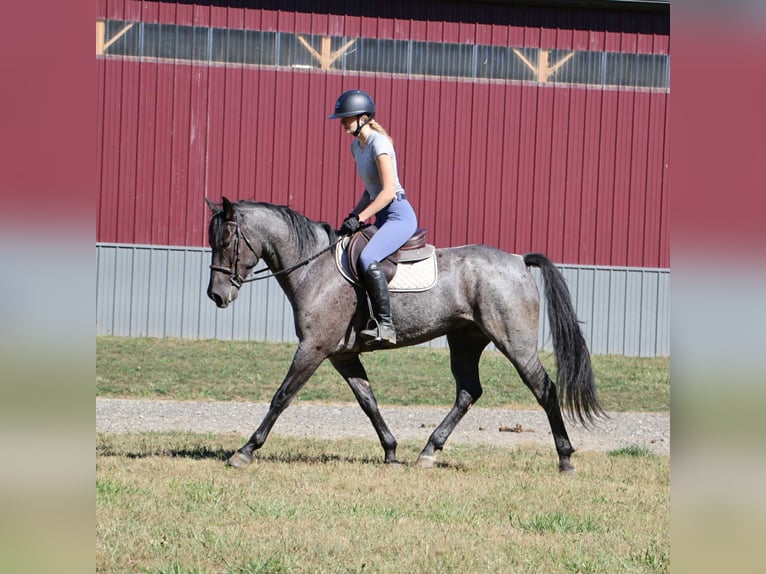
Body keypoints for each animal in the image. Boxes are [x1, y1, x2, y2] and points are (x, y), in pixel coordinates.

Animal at [206, 197, 604, 473]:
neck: (314, 267)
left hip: (514, 342)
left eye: (225, 242)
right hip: (465, 340)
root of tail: (519, 260)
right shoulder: (342, 355)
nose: (216, 295)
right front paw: (391, 452)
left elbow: (282, 396)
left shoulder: (314, 348)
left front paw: (245, 451)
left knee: (544, 389)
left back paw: (565, 458)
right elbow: (368, 401)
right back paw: (428, 452)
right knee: (468, 392)